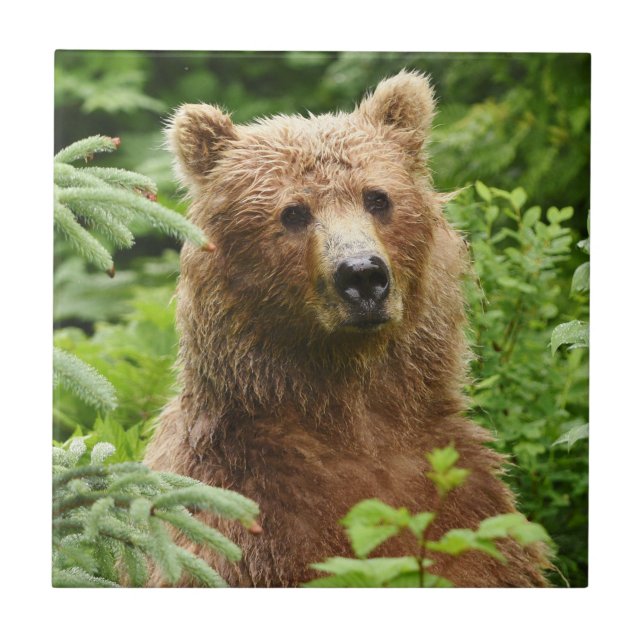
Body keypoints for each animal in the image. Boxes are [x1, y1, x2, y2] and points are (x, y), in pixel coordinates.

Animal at [144, 70, 549, 587]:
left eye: (377, 198)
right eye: (293, 212)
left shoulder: (465, 507)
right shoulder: (241, 521)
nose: (363, 275)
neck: (354, 415)